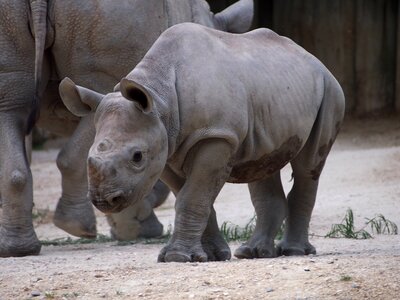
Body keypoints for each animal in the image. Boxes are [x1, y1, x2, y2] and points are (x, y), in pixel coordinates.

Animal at [0, 0, 253, 258]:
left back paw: (20, 249)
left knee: (11, 105)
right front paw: (136, 229)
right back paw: (79, 228)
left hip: (17, 17)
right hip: (109, 18)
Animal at [58, 22, 344, 262]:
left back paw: (294, 252)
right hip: (272, 94)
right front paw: (212, 255)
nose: (104, 200)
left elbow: (191, 197)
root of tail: (314, 58)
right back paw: (252, 253)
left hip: (330, 90)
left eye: (137, 156)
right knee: (262, 164)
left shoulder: (217, 135)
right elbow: (192, 196)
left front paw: (178, 257)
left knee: (308, 166)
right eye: (91, 155)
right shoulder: (166, 146)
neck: (160, 99)